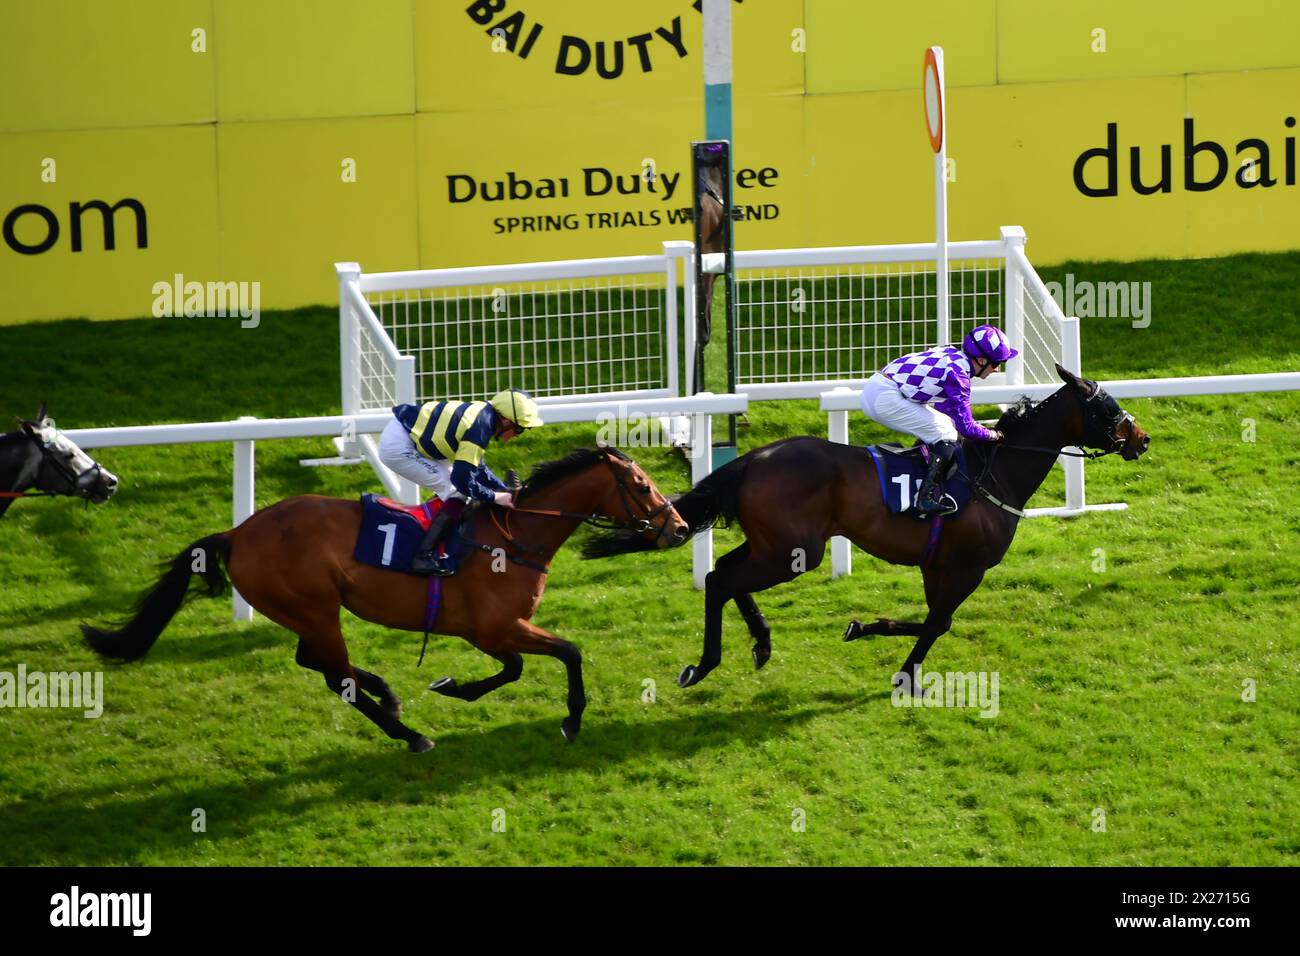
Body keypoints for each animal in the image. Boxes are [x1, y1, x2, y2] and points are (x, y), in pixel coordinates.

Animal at [81, 444, 691, 749]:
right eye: (641, 486)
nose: (680, 528)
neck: (515, 535)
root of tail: (237, 533)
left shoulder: (488, 632)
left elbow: (516, 667)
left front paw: (453, 687)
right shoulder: (495, 627)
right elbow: (567, 653)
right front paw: (571, 721)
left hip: (311, 613)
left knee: (319, 663)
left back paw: (391, 698)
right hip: (315, 609)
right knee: (334, 675)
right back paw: (409, 733)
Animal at [587, 366, 1149, 697]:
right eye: (1107, 407)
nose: (1141, 439)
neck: (996, 472)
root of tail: (754, 459)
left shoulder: (936, 564)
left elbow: (931, 620)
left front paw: (863, 628)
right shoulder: (966, 567)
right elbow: (938, 623)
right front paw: (905, 675)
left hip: (774, 544)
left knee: (721, 573)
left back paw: (759, 644)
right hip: (795, 551)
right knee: (721, 579)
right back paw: (705, 664)